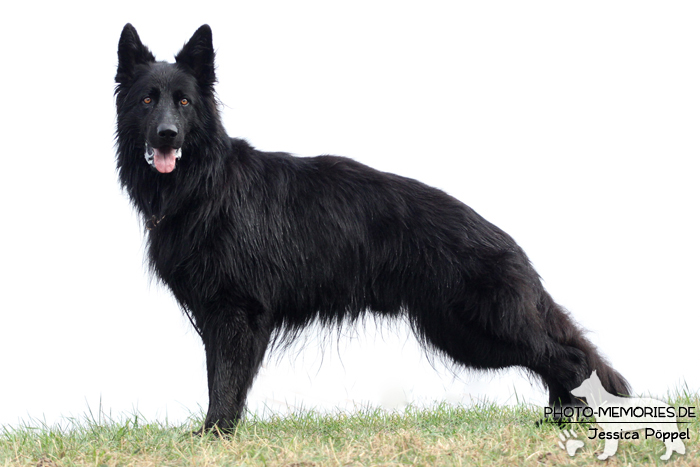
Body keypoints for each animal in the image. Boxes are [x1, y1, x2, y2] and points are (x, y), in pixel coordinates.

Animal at [113, 22, 628, 432]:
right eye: (147, 100)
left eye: (183, 101)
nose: (167, 136)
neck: (205, 185)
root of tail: (507, 242)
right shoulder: (217, 316)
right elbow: (220, 378)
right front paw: (219, 432)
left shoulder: (238, 314)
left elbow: (226, 381)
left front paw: (215, 435)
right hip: (461, 332)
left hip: (481, 327)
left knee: (568, 359)